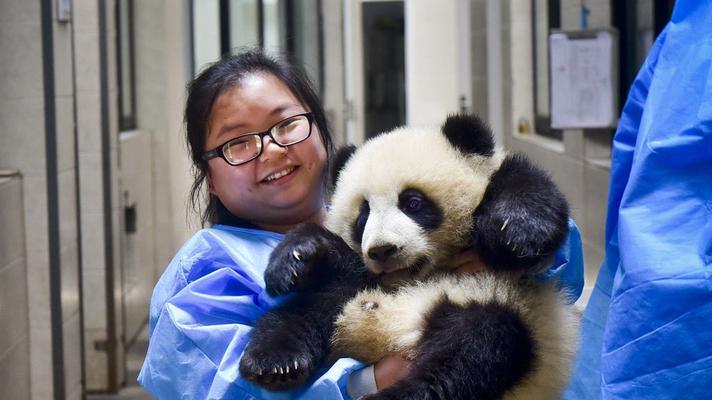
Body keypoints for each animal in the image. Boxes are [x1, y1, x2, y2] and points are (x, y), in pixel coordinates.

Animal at [238, 113, 580, 400]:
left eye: (413, 203)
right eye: (363, 214)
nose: (382, 250)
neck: (424, 273)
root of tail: (398, 331)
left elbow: (529, 192)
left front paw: (517, 232)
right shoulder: (362, 270)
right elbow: (336, 256)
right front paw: (294, 261)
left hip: (498, 304)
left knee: (472, 352)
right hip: (348, 297)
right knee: (305, 312)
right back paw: (273, 363)